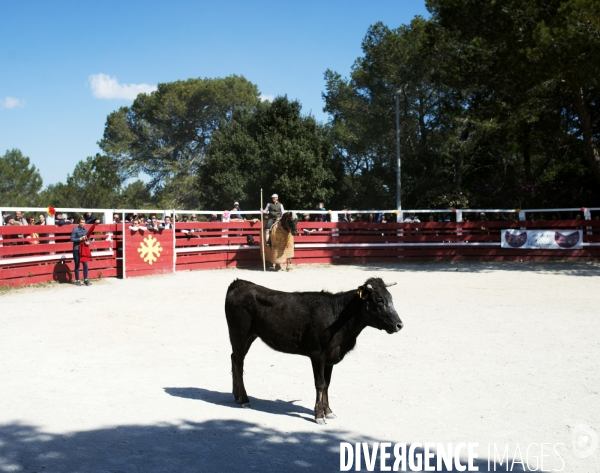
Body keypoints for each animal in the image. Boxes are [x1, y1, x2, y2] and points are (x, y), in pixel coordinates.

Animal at [225, 276, 404, 424]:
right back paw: (245, 399)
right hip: (239, 333)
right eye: (379, 300)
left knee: (234, 358)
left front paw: (328, 411)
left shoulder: (330, 357)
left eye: (391, 298)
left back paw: (236, 395)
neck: (338, 316)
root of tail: (239, 283)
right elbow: (320, 383)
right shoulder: (317, 354)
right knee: (239, 363)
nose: (399, 325)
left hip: (250, 336)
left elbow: (327, 384)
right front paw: (319, 415)